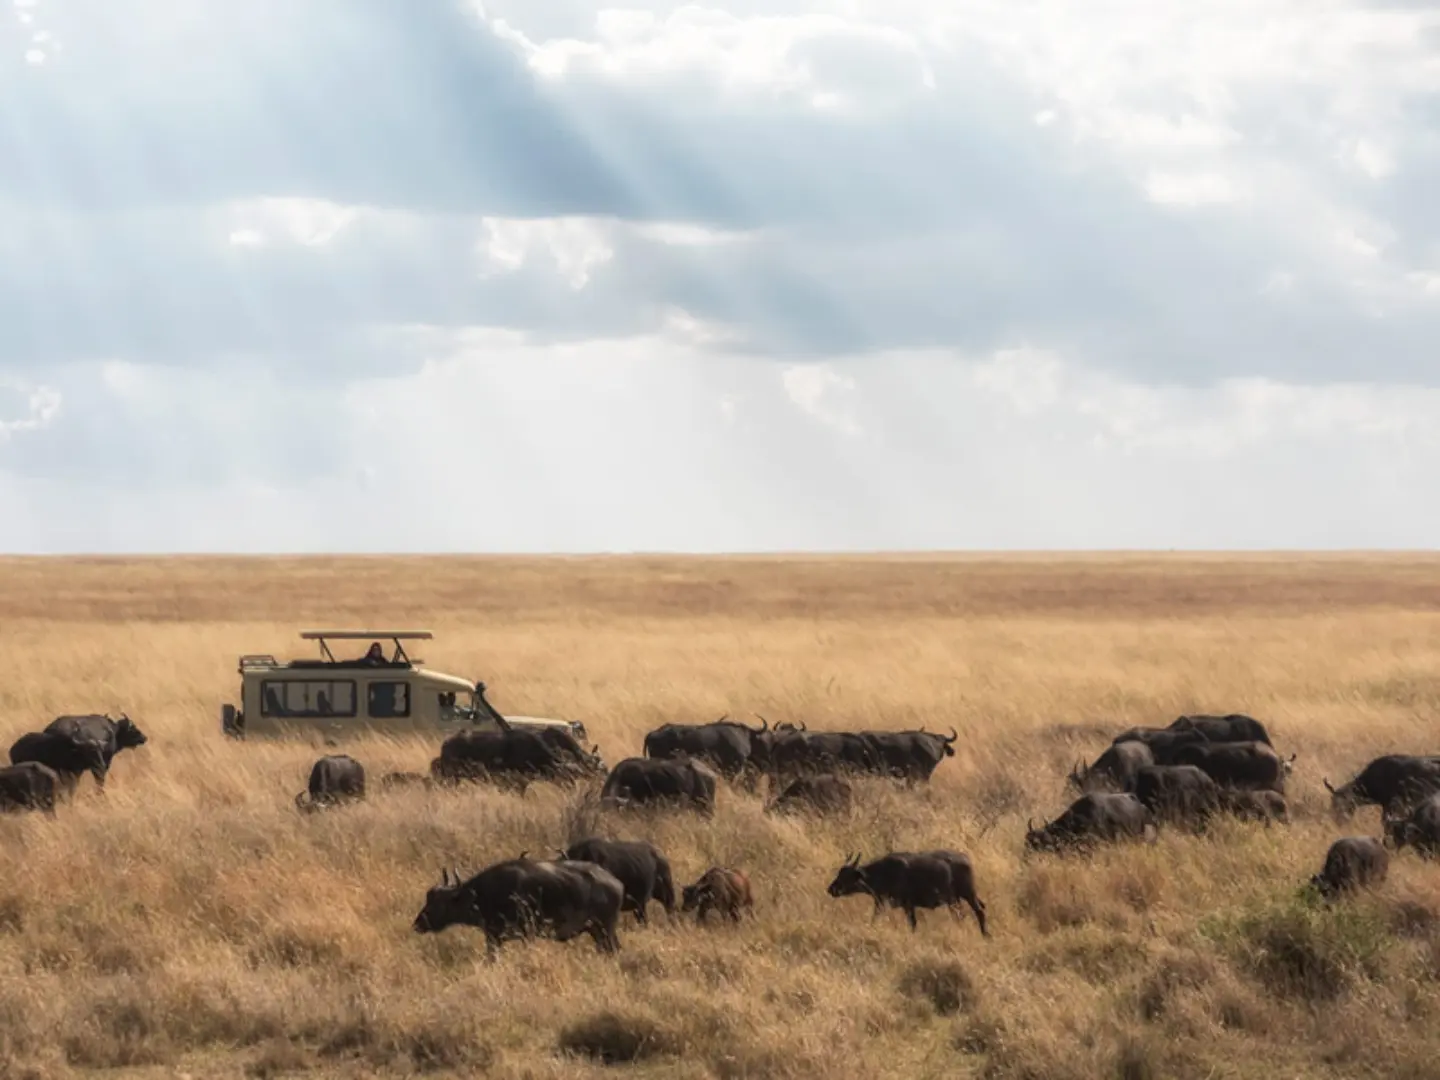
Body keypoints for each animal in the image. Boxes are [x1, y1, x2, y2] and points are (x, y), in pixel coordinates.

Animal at [411, 858, 624, 961]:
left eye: (439, 902)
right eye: (428, 900)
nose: (418, 924)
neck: (484, 894)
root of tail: (616, 883)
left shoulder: (527, 934)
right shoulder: (493, 937)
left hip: (606, 929)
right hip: (597, 932)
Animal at [823, 852, 990, 938]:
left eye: (846, 876)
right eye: (839, 873)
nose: (831, 889)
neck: (883, 873)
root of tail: (965, 859)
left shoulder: (907, 905)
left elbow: (913, 923)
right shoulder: (880, 903)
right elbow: (874, 919)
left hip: (969, 894)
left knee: (980, 912)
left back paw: (985, 934)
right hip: (954, 901)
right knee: (960, 916)